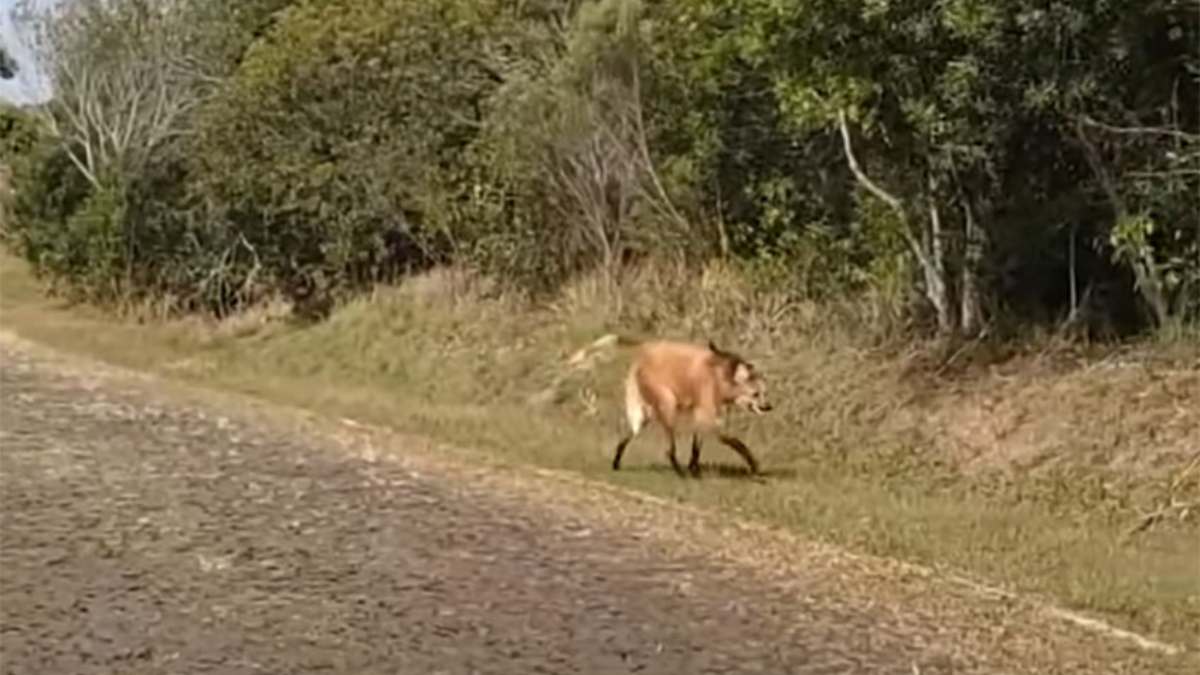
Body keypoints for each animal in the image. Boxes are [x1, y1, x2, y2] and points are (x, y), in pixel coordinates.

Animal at [568, 333, 772, 475]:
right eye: (756, 394)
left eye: (765, 393)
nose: (768, 407)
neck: (721, 377)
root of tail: (646, 347)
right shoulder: (709, 416)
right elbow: (737, 442)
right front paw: (754, 465)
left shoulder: (701, 415)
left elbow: (696, 448)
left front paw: (694, 468)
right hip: (667, 403)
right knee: (669, 448)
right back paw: (679, 472)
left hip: (644, 414)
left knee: (626, 436)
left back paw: (616, 463)